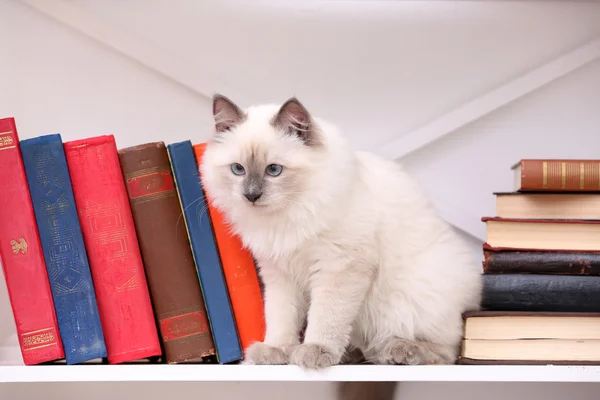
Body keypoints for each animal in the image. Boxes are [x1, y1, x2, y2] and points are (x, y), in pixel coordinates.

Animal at [200, 94, 482, 368]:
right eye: (238, 169)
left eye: (274, 170)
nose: (251, 195)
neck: (285, 216)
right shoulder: (279, 273)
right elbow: (281, 317)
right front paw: (277, 351)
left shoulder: (339, 266)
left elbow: (326, 316)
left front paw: (315, 351)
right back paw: (353, 354)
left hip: (408, 301)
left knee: (446, 351)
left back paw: (398, 351)